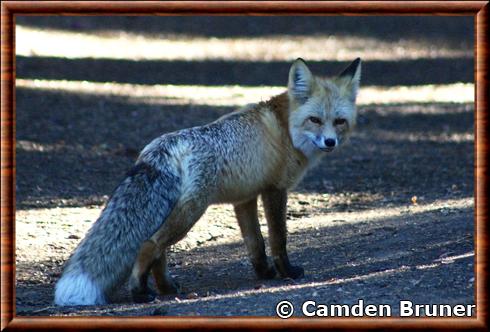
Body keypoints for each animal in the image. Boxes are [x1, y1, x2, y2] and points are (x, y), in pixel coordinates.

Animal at [54, 57, 360, 306]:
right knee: (149, 245)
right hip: (191, 212)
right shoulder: (275, 189)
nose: (330, 142)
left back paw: (167, 288)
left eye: (339, 121)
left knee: (158, 251)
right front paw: (287, 272)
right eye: (315, 120)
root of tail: (162, 146)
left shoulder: (245, 197)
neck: (286, 129)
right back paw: (140, 292)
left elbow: (255, 243)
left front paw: (264, 273)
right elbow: (278, 239)